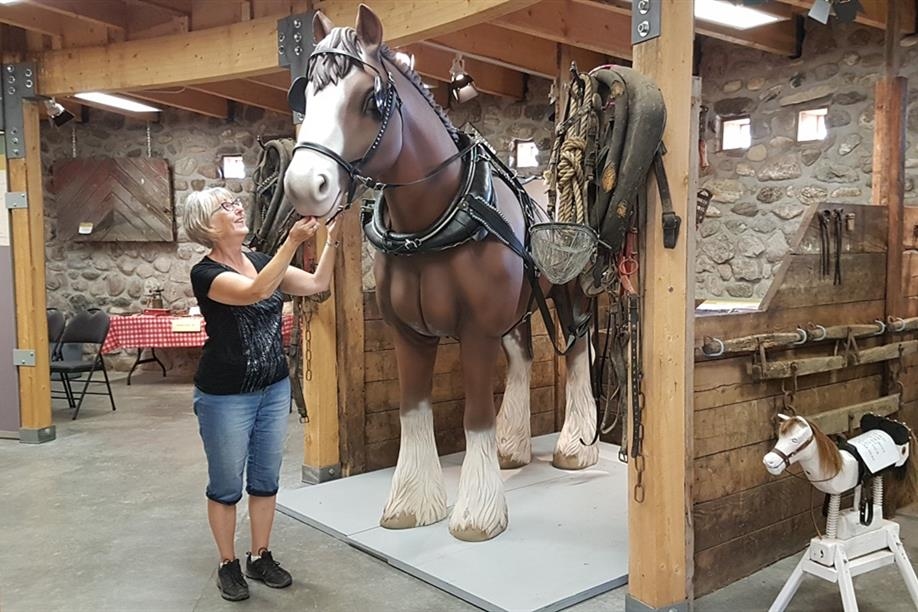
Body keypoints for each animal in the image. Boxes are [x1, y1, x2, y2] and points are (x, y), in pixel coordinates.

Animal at [282, 5, 598, 541]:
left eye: (371, 99)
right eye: (305, 94)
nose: (306, 185)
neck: (433, 221)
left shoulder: (476, 331)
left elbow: (475, 416)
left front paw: (477, 515)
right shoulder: (408, 332)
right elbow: (413, 410)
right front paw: (410, 505)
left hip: (567, 293)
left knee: (576, 353)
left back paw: (575, 447)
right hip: (518, 308)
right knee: (523, 359)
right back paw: (512, 450)